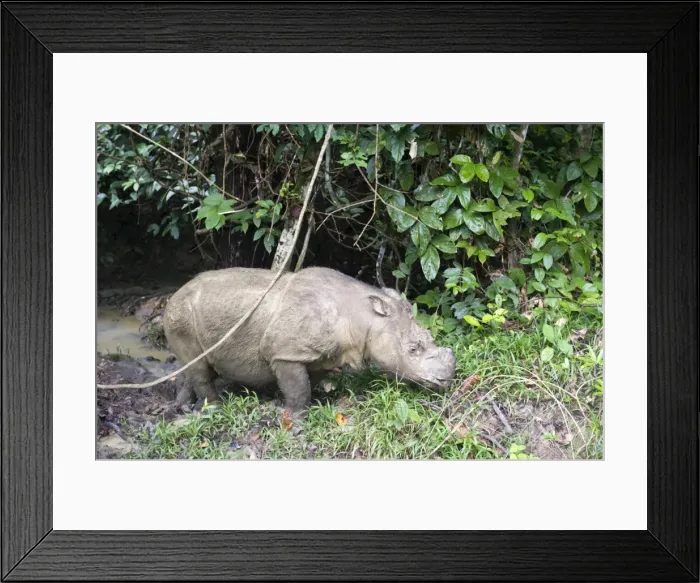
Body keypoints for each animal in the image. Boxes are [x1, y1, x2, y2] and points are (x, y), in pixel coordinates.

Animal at [162, 266, 456, 418]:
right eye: (413, 349)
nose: (447, 380)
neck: (363, 316)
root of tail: (172, 296)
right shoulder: (284, 352)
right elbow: (298, 387)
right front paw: (295, 418)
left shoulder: (320, 355)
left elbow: (307, 382)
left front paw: (315, 403)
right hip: (181, 315)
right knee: (198, 366)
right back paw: (214, 409)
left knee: (192, 364)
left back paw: (184, 407)